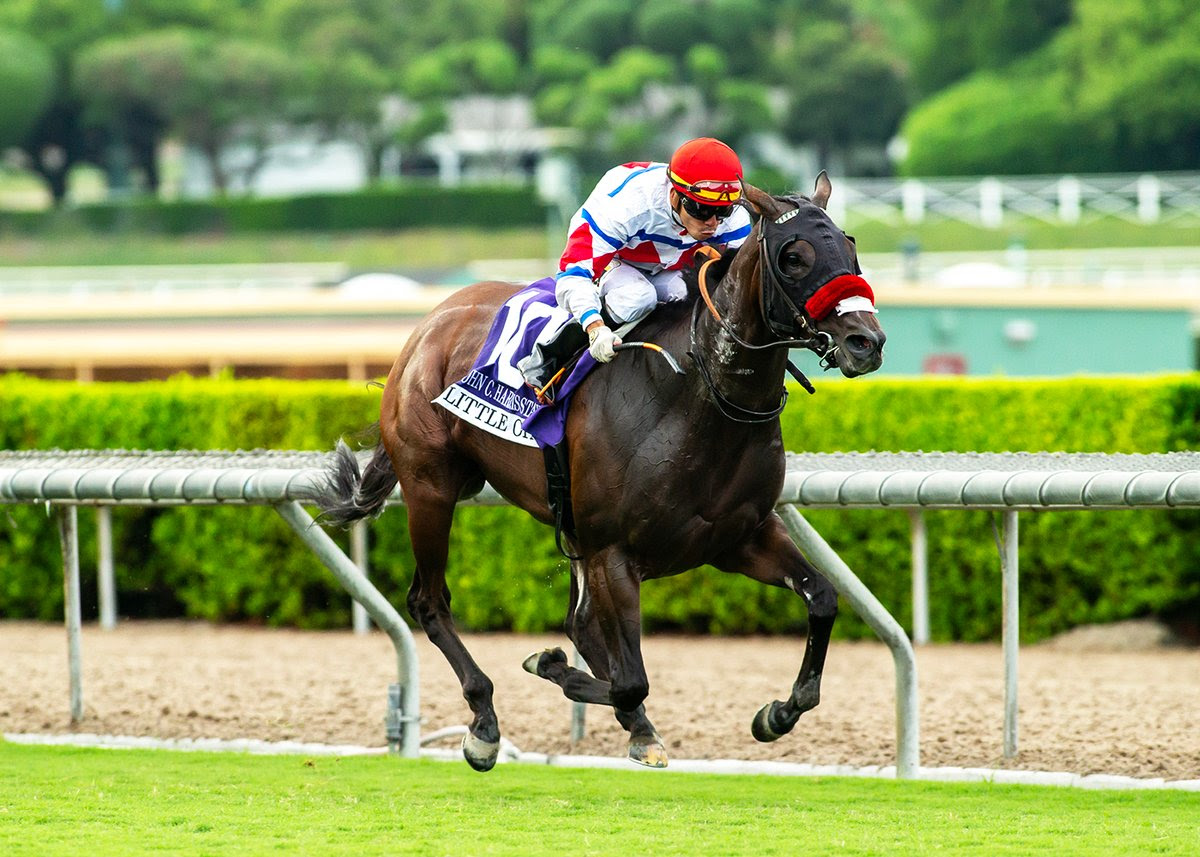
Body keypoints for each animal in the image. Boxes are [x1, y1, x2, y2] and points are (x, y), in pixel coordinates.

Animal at [315, 176, 886, 771]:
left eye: (850, 248)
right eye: (794, 256)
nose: (866, 342)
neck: (699, 396)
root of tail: (426, 327)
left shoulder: (738, 538)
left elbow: (822, 598)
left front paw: (776, 713)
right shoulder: (615, 550)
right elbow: (630, 680)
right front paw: (549, 666)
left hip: (564, 526)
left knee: (579, 624)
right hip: (432, 487)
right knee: (430, 603)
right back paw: (485, 722)